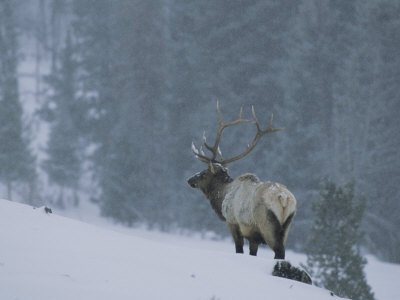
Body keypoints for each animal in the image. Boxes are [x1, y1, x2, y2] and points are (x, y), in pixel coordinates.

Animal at [188, 102, 296, 258]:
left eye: (203, 173)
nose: (189, 180)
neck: (222, 196)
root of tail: (284, 198)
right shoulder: (253, 236)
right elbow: (252, 252)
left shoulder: (233, 223)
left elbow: (239, 248)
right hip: (287, 225)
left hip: (267, 223)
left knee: (279, 251)